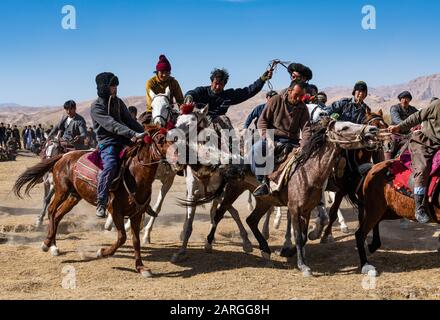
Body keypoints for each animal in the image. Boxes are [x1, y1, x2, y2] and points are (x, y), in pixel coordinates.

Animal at [13, 125, 172, 278]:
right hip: (61, 191)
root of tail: (63, 156)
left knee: (58, 215)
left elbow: (135, 240)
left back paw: (51, 243)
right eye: (160, 140)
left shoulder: (136, 214)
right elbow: (122, 237)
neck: (134, 175)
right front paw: (102, 252)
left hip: (73, 196)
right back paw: (47, 244)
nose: (174, 156)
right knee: (51, 210)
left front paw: (141, 267)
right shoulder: (115, 211)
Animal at [187, 119, 380, 276]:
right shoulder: (294, 208)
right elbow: (298, 235)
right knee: (220, 213)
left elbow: (303, 236)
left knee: (251, 220)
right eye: (345, 127)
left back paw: (265, 250)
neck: (308, 172)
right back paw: (209, 244)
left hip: (264, 200)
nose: (372, 130)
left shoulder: (307, 210)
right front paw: (303, 266)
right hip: (233, 191)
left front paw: (289, 252)